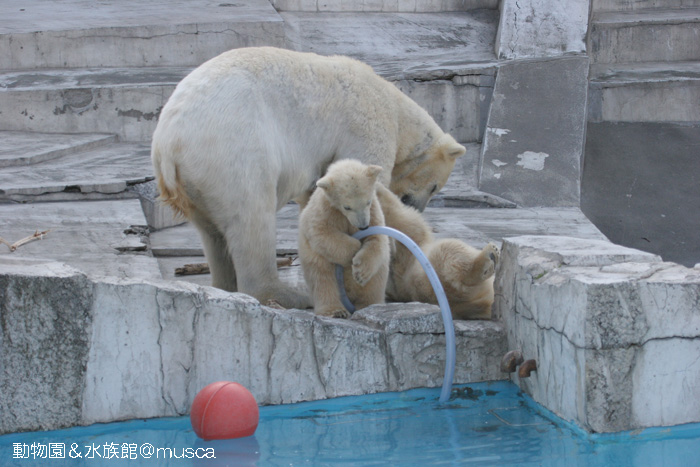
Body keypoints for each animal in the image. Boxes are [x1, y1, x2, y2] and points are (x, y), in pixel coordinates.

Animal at [156, 48, 468, 310]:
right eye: (435, 187)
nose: (418, 206)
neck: (395, 106)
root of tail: (168, 143)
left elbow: (317, 198)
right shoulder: (366, 124)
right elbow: (367, 183)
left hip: (196, 181)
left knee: (212, 233)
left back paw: (226, 285)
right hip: (232, 149)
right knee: (252, 218)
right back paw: (288, 295)